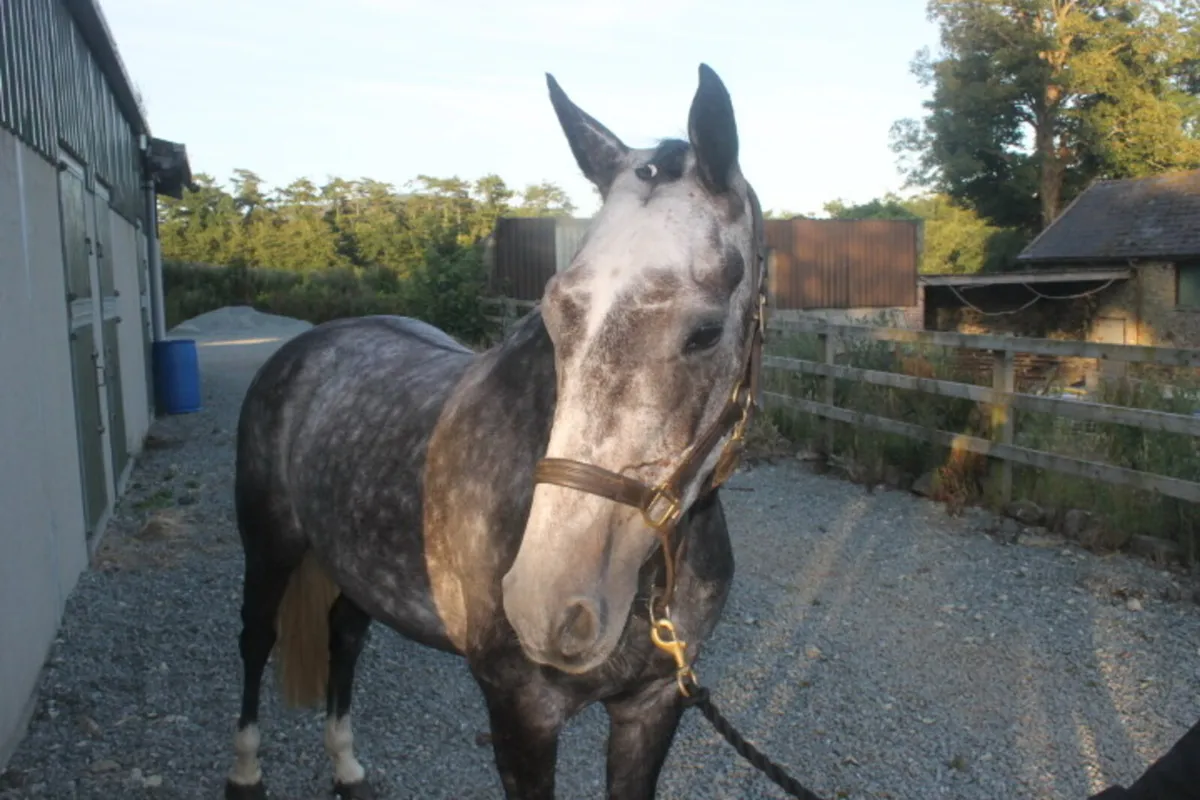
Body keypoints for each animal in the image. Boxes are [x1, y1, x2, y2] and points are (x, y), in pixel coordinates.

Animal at [223, 62, 768, 800]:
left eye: (706, 331)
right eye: (557, 309)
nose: (548, 603)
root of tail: (308, 345)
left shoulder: (653, 707)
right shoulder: (521, 715)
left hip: (352, 565)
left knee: (343, 640)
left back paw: (347, 765)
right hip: (269, 547)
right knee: (256, 638)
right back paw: (246, 768)